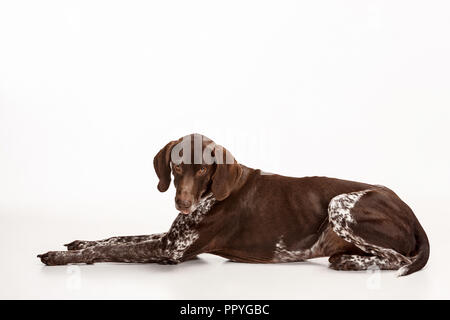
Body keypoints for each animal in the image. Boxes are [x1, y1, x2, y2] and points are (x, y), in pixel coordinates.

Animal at [37, 132, 428, 276]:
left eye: (203, 168)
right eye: (176, 166)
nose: (182, 204)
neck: (211, 194)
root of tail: (412, 213)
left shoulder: (170, 249)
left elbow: (111, 250)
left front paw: (58, 256)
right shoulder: (170, 238)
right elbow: (115, 238)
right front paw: (78, 243)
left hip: (340, 203)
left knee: (398, 258)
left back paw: (349, 262)